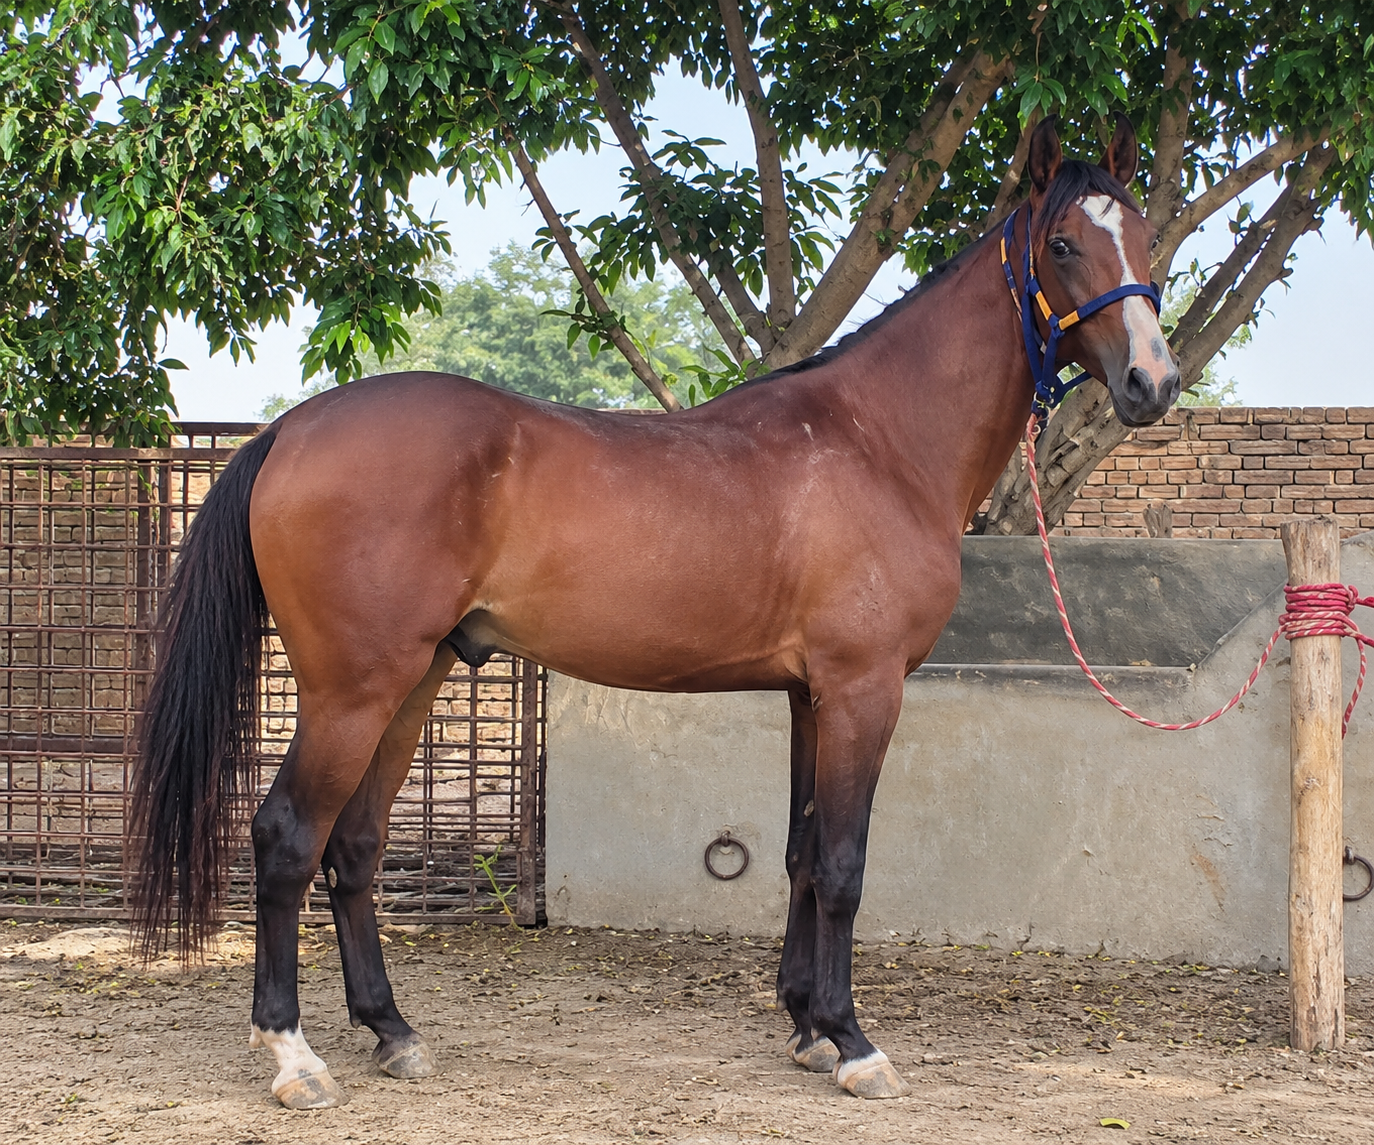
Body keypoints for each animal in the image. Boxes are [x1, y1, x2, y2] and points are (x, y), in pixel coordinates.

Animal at [130, 115, 1180, 1108]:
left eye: (1145, 238)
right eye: (1062, 245)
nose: (1154, 384)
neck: (875, 441)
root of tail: (291, 428)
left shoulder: (810, 696)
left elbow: (802, 853)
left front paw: (805, 1023)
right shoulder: (862, 690)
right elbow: (843, 862)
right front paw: (853, 1042)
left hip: (412, 681)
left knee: (354, 846)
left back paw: (392, 1030)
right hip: (352, 689)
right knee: (286, 839)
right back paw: (294, 1057)